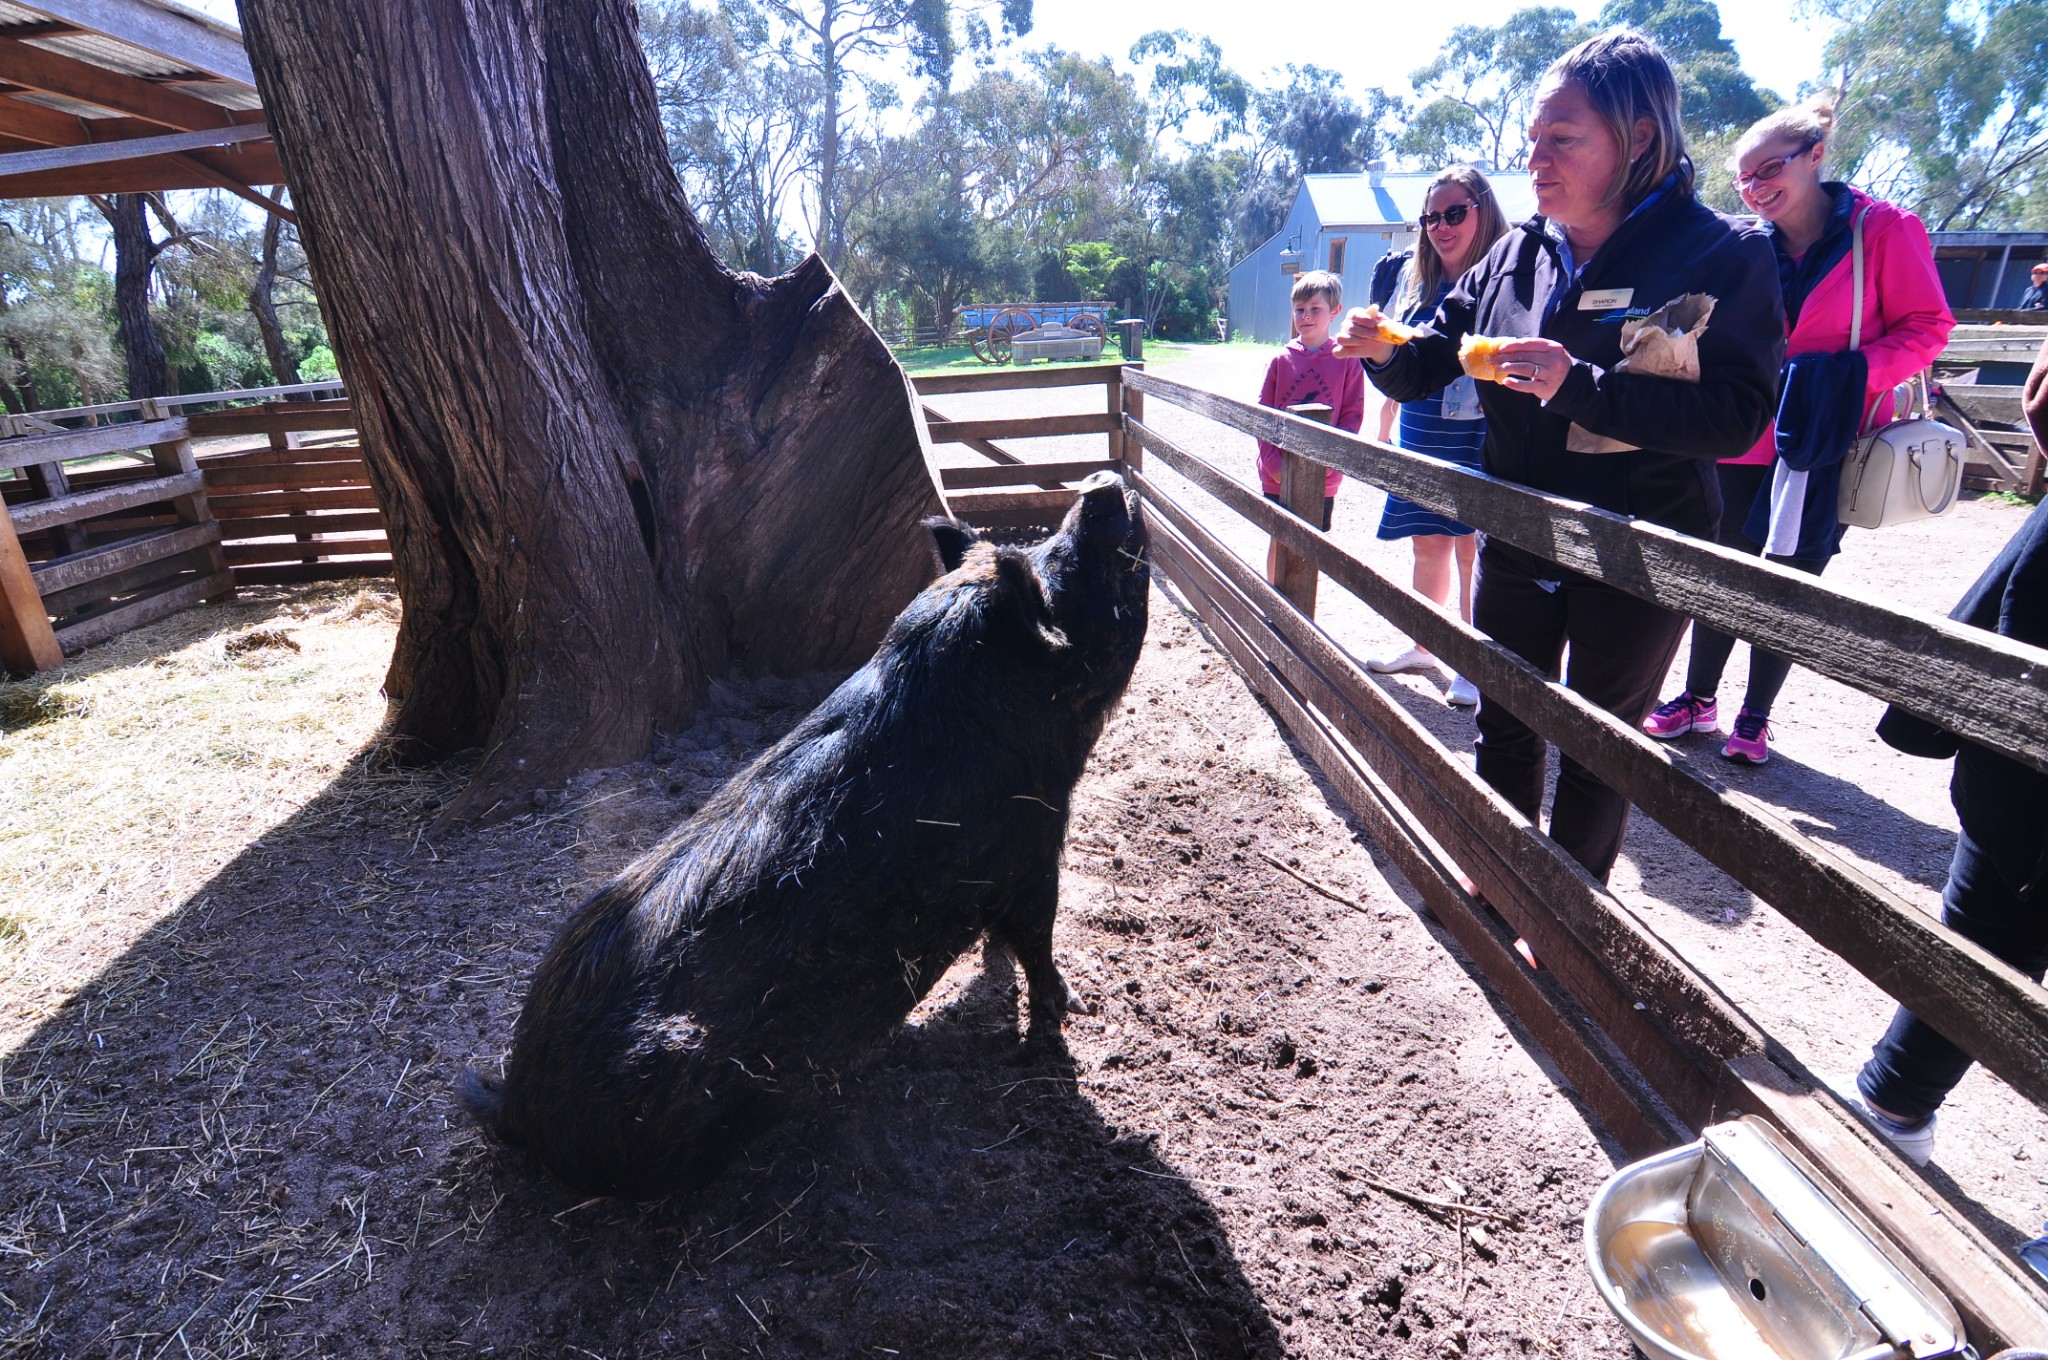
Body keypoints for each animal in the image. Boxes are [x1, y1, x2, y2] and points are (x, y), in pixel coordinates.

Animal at [454, 473, 1146, 1196]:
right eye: (1065, 570)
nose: (1099, 482)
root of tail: (518, 1106)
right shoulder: (1032, 841)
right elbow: (1036, 936)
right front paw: (1070, 1006)